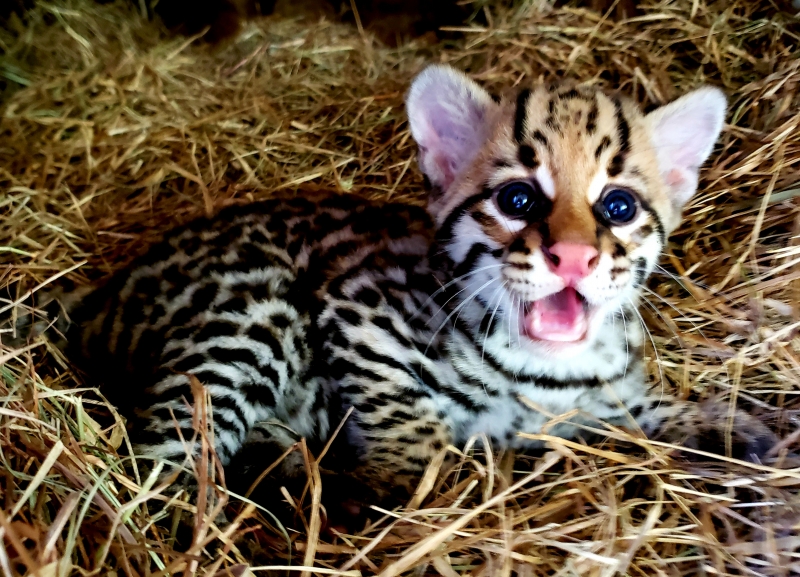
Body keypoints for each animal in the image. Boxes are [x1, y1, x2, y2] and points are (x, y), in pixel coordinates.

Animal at [9, 63, 780, 496]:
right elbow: (413, 420)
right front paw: (402, 475)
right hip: (254, 311)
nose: (571, 258)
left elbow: (652, 408)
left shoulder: (607, 395)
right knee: (164, 464)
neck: (548, 373)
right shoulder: (355, 308)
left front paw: (729, 424)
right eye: (518, 199)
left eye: (617, 206)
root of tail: (106, 290)